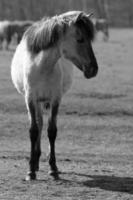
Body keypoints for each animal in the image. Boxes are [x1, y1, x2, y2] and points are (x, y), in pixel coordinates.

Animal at [10, 10, 98, 180]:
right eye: (80, 39)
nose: (93, 69)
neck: (41, 66)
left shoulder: (55, 99)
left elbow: (52, 131)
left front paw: (53, 168)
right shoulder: (30, 99)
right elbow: (33, 130)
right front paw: (30, 170)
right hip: (36, 102)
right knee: (38, 124)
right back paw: (35, 163)